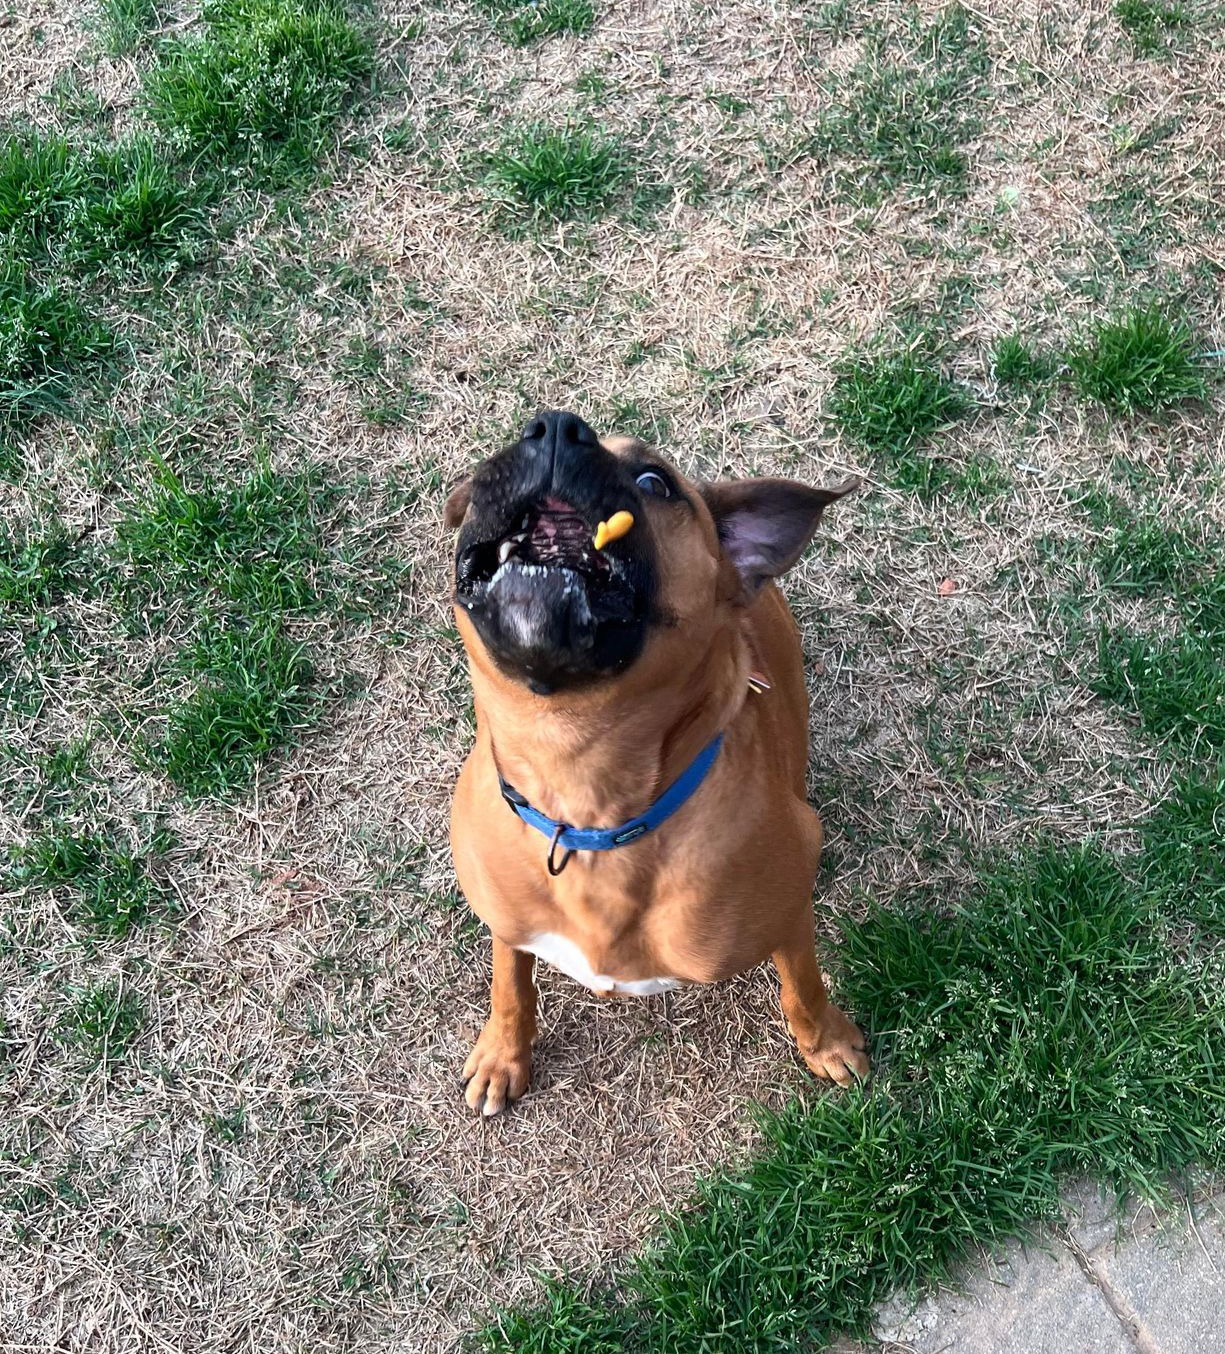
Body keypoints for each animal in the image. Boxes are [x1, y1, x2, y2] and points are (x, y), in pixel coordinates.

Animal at [443, 408, 866, 1110]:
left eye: (654, 480)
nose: (555, 427)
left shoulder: (787, 913)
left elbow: (803, 987)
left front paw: (827, 1043)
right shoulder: (506, 921)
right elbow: (510, 983)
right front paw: (503, 1054)